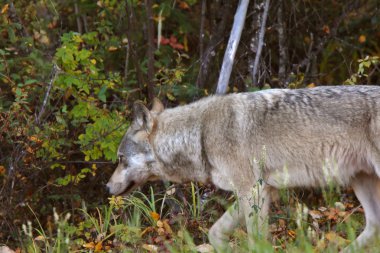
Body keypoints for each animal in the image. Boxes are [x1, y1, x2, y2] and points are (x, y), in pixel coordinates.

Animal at [105, 86, 380, 251]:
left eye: (120, 158)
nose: (106, 187)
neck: (201, 133)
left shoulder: (252, 191)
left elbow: (255, 240)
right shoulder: (259, 191)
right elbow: (215, 232)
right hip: (361, 181)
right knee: (374, 225)